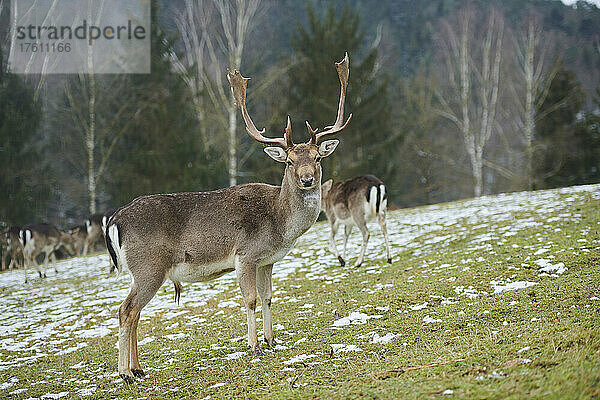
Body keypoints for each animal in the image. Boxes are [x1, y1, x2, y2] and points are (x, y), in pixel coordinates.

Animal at [106, 53, 352, 382]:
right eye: (289, 162)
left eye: (317, 158)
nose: (307, 179)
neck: (280, 223)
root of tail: (114, 220)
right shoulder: (245, 254)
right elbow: (250, 299)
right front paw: (254, 347)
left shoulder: (267, 260)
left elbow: (268, 296)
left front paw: (272, 341)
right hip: (150, 266)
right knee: (126, 310)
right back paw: (126, 373)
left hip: (142, 271)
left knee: (134, 311)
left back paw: (138, 368)